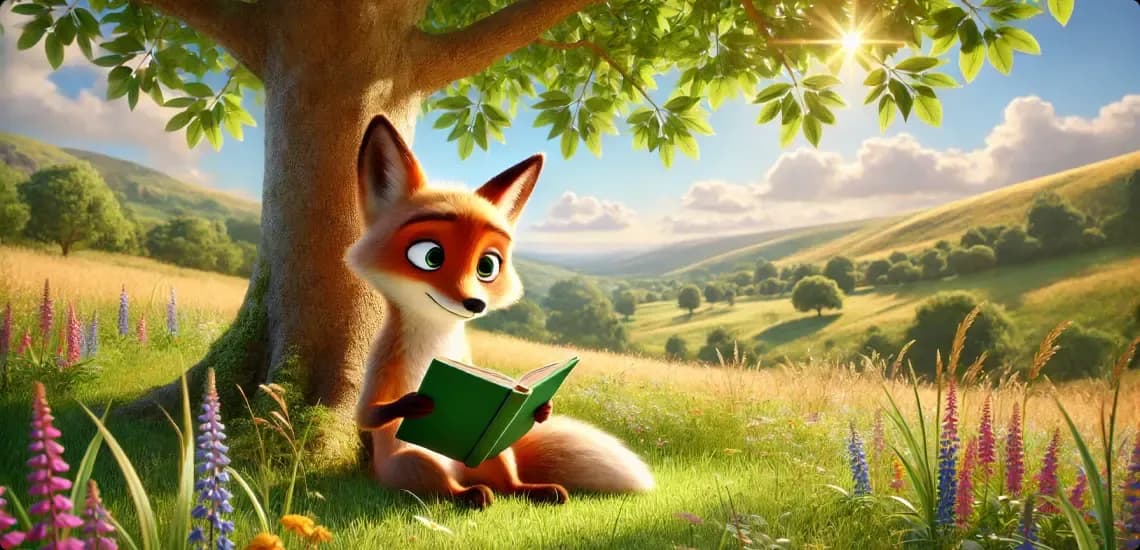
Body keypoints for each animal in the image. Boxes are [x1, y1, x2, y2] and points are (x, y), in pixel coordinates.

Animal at [345, 115, 655, 509]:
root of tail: (460, 467)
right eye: (430, 256)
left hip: (493, 448)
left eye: (487, 266)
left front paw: (542, 409)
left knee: (507, 481)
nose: (474, 304)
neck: (438, 335)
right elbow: (366, 414)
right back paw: (471, 495)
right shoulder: (384, 357)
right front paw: (414, 404)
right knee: (445, 487)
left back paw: (540, 490)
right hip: (413, 460)